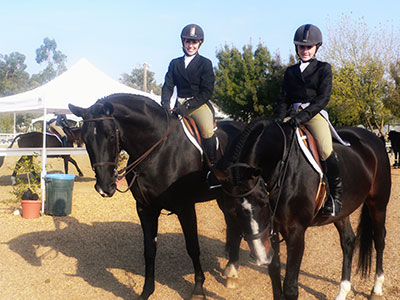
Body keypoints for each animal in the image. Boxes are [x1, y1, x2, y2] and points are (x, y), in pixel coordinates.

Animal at [69, 94, 244, 300]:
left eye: (111, 136)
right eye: (85, 139)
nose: (104, 187)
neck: (159, 151)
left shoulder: (185, 208)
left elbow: (193, 247)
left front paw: (198, 288)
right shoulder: (145, 209)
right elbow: (149, 250)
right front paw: (146, 291)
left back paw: (233, 271)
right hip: (224, 198)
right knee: (233, 224)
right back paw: (230, 267)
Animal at [216, 119, 390, 300]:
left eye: (263, 202)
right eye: (231, 211)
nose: (261, 256)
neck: (282, 167)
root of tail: (374, 138)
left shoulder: (296, 232)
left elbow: (290, 287)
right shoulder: (272, 229)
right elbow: (274, 273)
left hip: (378, 204)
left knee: (379, 239)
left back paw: (376, 288)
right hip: (342, 212)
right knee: (348, 241)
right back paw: (342, 292)